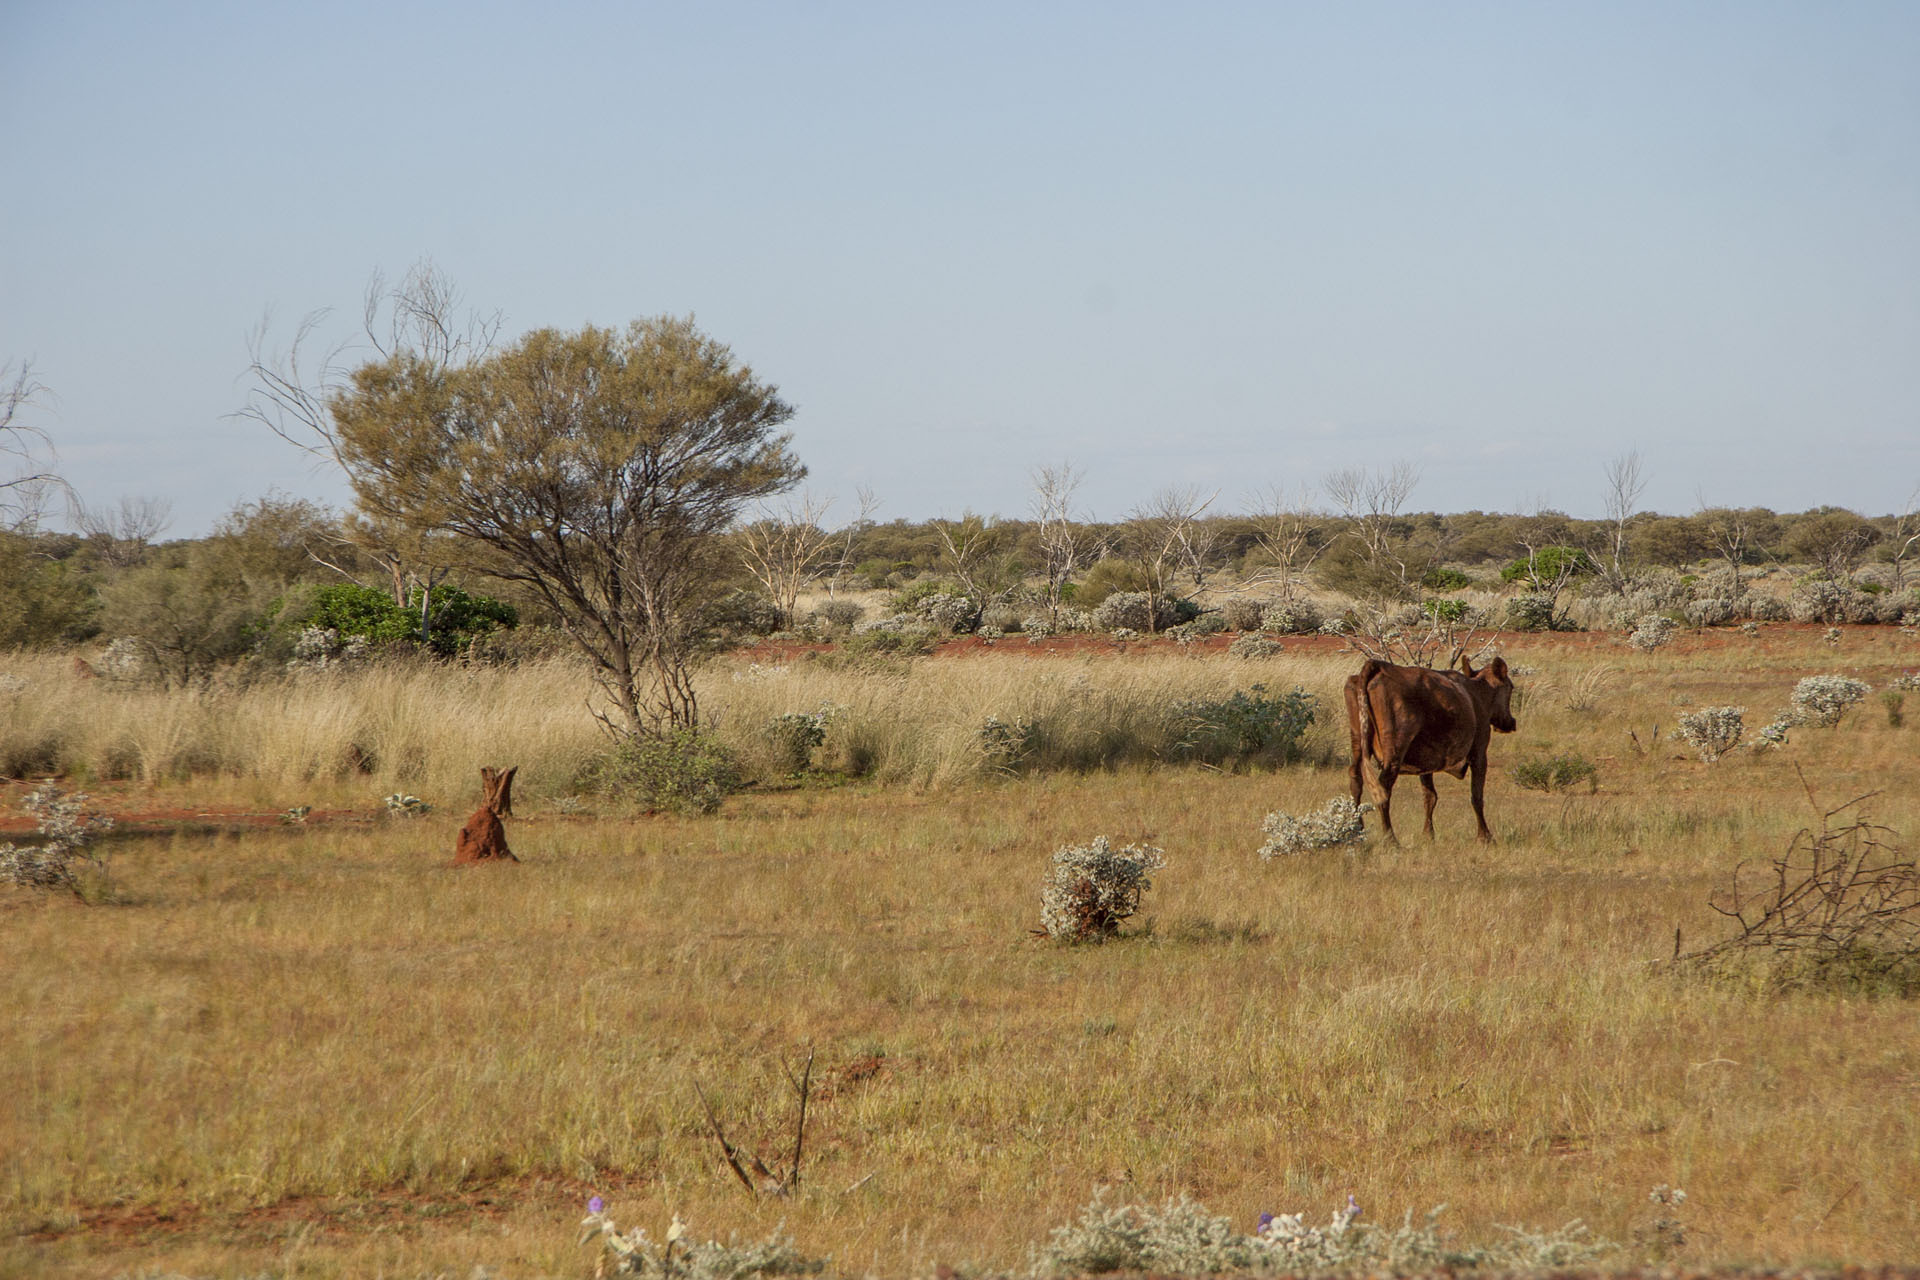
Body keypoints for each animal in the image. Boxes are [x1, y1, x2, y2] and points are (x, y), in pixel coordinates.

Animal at [1351, 656, 1512, 844]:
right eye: (1511, 687)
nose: (1510, 722)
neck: (1478, 694)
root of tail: (1378, 666)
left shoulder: (1426, 764)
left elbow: (1430, 797)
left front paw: (1428, 835)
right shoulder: (1479, 753)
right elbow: (1476, 796)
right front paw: (1485, 836)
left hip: (1357, 744)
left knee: (1356, 781)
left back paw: (1357, 831)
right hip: (1395, 751)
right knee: (1382, 790)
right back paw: (1391, 839)